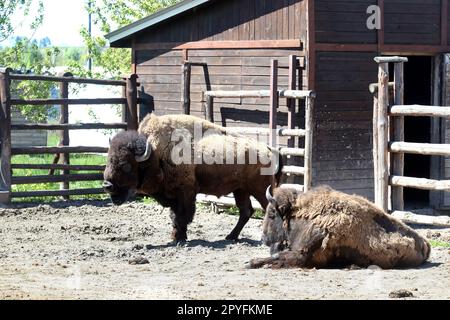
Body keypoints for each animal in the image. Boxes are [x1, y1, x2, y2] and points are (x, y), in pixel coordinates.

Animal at [102, 115, 280, 242]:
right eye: (109, 159)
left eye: (125, 164)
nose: (107, 185)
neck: (155, 153)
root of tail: (268, 150)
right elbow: (175, 215)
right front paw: (177, 236)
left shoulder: (186, 192)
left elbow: (182, 215)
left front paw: (178, 238)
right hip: (240, 190)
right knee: (246, 210)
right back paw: (231, 237)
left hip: (259, 189)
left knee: (267, 208)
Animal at [248, 186, 430, 268]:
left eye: (272, 213)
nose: (263, 238)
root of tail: (426, 244)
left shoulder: (302, 255)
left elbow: (277, 256)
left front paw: (250, 262)